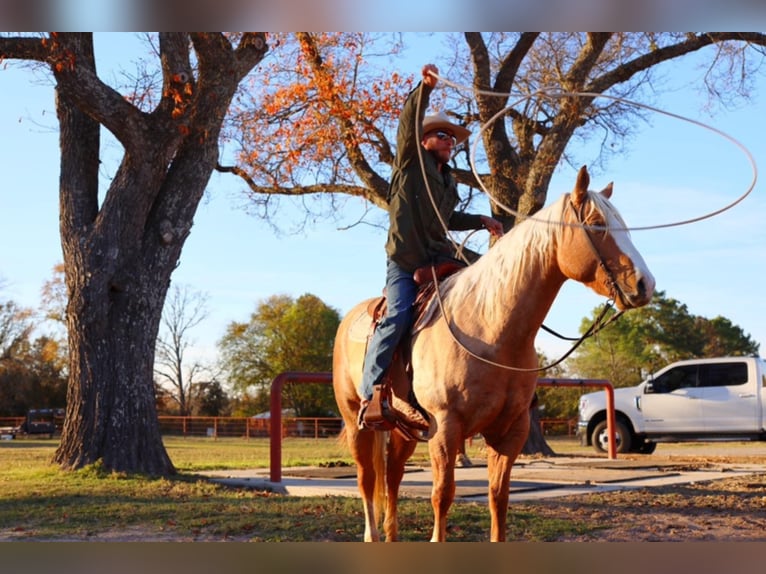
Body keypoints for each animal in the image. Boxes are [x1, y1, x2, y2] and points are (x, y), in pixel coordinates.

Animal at [332, 166, 656, 544]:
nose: (645, 284)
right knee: (367, 479)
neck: (491, 328)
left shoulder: (510, 430)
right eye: (596, 224)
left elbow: (498, 497)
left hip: (403, 428)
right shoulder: (445, 427)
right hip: (357, 421)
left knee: (393, 475)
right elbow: (442, 495)